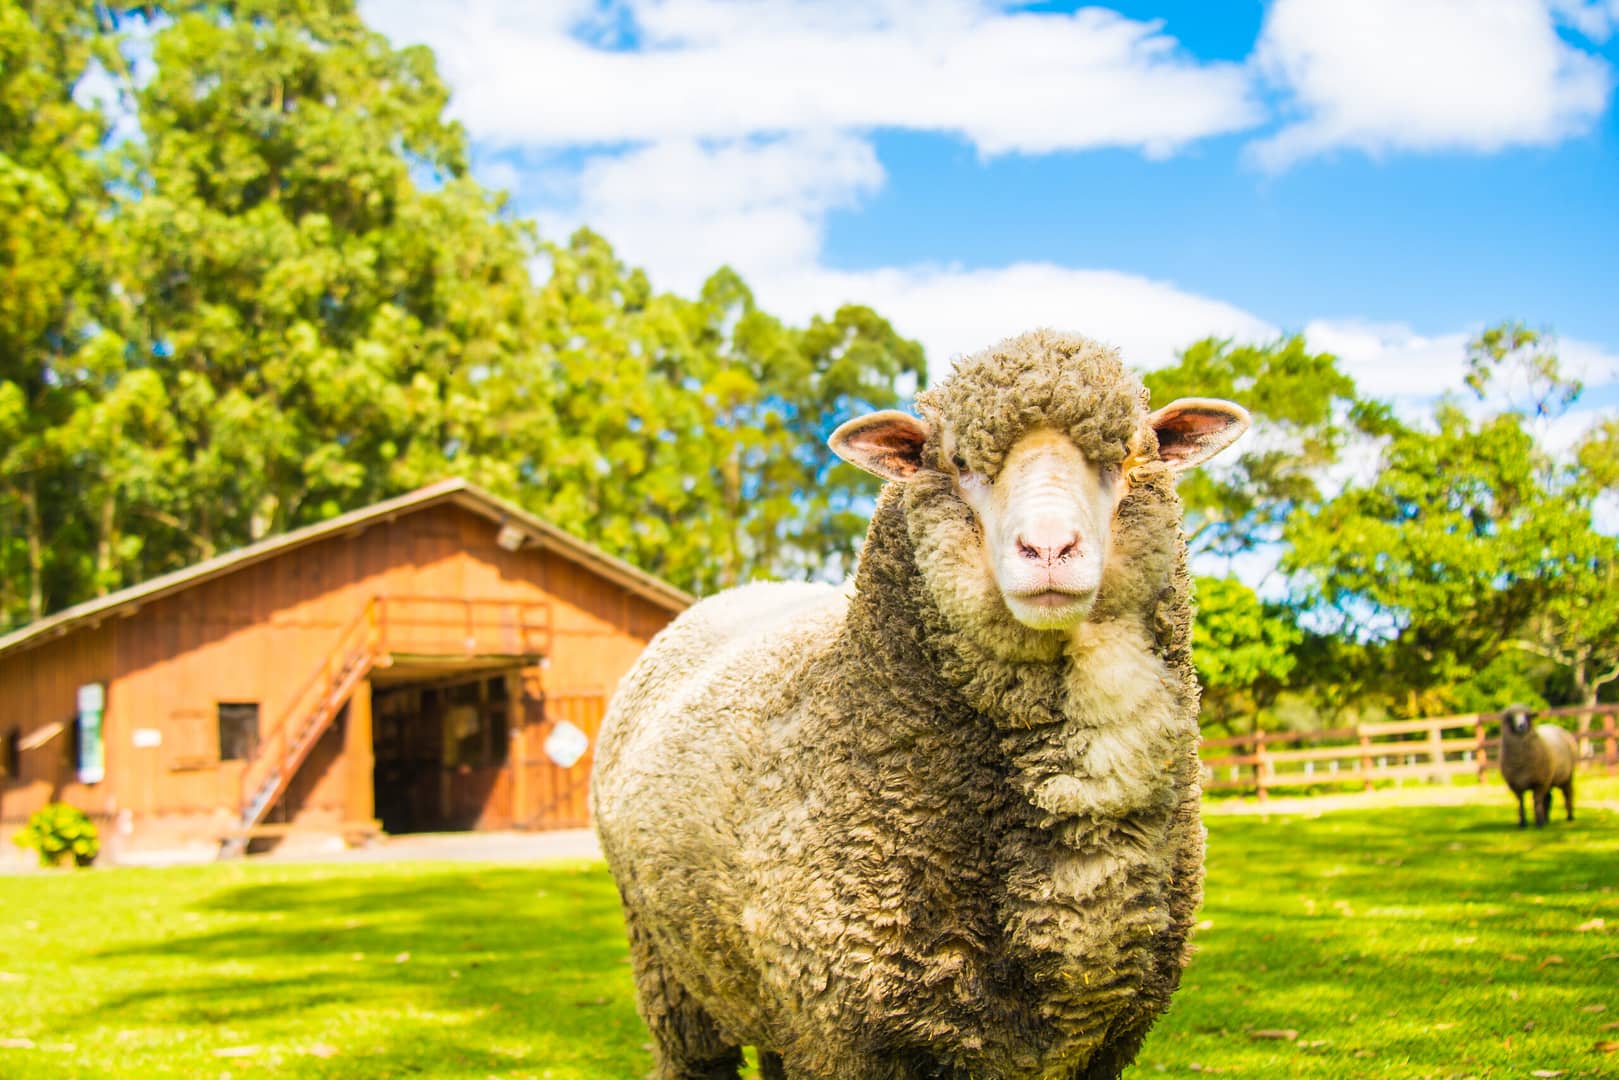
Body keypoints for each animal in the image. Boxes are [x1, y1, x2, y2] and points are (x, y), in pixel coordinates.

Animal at [595, 330, 1249, 1080]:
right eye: (958, 463)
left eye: (1131, 456)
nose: (1048, 548)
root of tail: (735, 593)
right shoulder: (848, 1032)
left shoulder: (1107, 1039)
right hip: (672, 971)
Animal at [1495, 705, 1573, 835]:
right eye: (1511, 717)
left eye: (1528, 716)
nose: (1522, 726)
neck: (1521, 761)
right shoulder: (1515, 784)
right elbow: (1520, 802)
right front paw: (1522, 823)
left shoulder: (1539, 782)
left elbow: (1536, 801)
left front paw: (1539, 823)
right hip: (1549, 779)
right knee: (1548, 798)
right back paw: (1546, 819)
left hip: (1566, 777)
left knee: (1568, 794)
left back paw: (1570, 817)